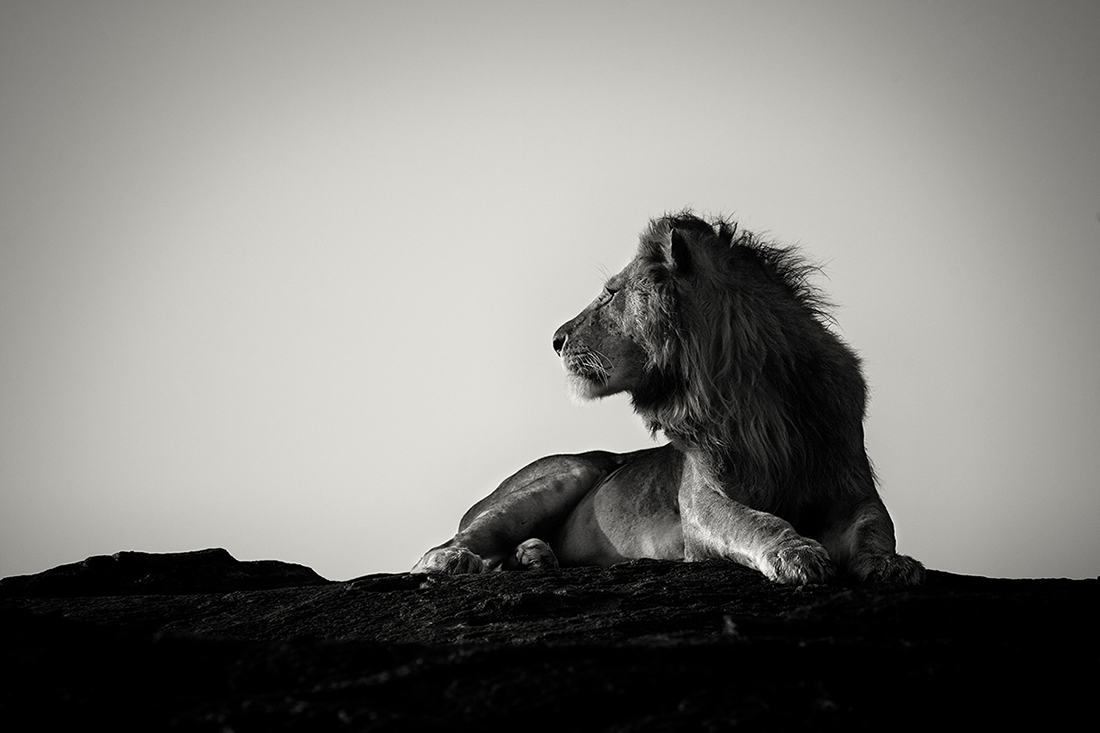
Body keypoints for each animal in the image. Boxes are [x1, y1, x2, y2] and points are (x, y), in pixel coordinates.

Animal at [413, 212, 924, 585]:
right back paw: (452, 562)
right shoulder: (701, 505)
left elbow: (877, 526)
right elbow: (756, 522)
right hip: (572, 470)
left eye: (610, 294)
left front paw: (891, 565)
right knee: (450, 544)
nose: (555, 340)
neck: (753, 398)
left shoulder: (852, 487)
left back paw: (534, 556)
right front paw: (796, 553)